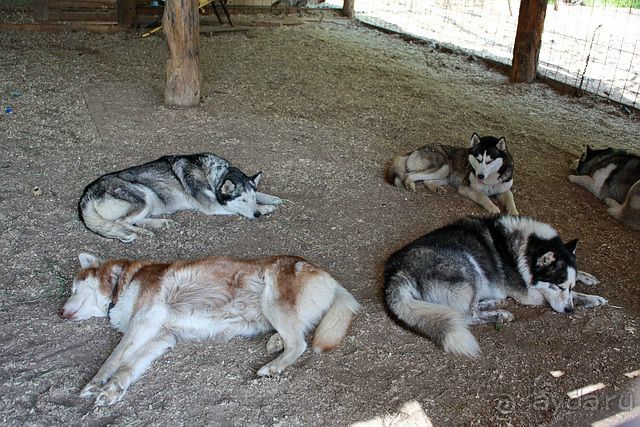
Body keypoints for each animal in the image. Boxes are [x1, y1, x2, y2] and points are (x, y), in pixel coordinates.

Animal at [61, 254, 360, 408]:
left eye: (74, 288)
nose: (61, 312)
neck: (120, 283)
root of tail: (330, 279)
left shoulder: (142, 322)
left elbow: (113, 358)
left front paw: (95, 383)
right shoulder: (161, 337)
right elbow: (127, 367)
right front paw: (113, 390)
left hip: (273, 299)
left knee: (299, 344)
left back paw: (272, 366)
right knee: (296, 334)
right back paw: (275, 343)